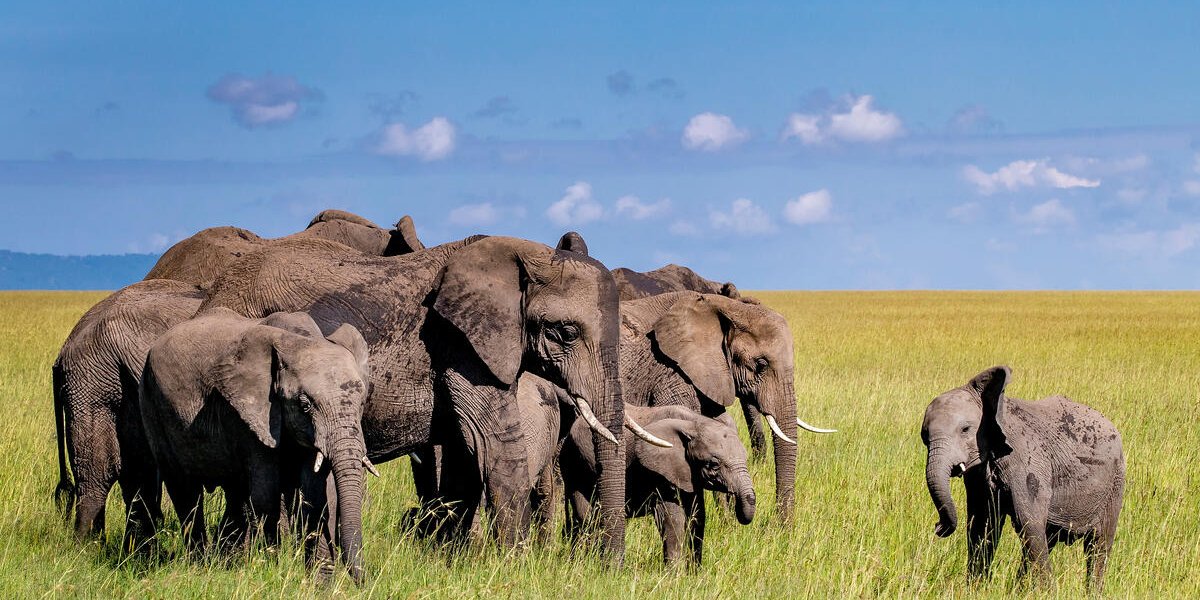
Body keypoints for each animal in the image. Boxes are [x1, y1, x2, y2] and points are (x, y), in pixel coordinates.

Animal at [140, 308, 373, 582]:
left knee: (235, 493)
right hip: (151, 402)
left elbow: (318, 497)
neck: (299, 340)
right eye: (305, 405)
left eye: (361, 403)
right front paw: (274, 568)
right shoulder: (248, 413)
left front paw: (320, 582)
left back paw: (225, 562)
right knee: (185, 492)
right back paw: (199, 565)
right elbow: (266, 495)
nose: (364, 582)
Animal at [197, 234, 632, 558]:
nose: (608, 566)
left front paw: (451, 559)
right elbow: (495, 445)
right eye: (567, 332)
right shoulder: (460, 346)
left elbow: (463, 455)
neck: (523, 251)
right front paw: (515, 565)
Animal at [558, 402, 755, 566]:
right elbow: (672, 517)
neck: (694, 423)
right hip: (575, 463)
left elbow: (697, 516)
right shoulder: (659, 472)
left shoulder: (687, 473)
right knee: (586, 518)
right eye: (713, 464)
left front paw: (694, 571)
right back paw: (583, 564)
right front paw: (674, 576)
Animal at [921, 366, 1125, 592]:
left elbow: (1027, 522)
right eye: (924, 437)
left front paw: (1047, 593)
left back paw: (1092, 592)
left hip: (1115, 482)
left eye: (965, 430)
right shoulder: (979, 472)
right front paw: (976, 589)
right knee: (1048, 538)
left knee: (1099, 544)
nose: (938, 527)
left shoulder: (1027, 463)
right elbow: (982, 526)